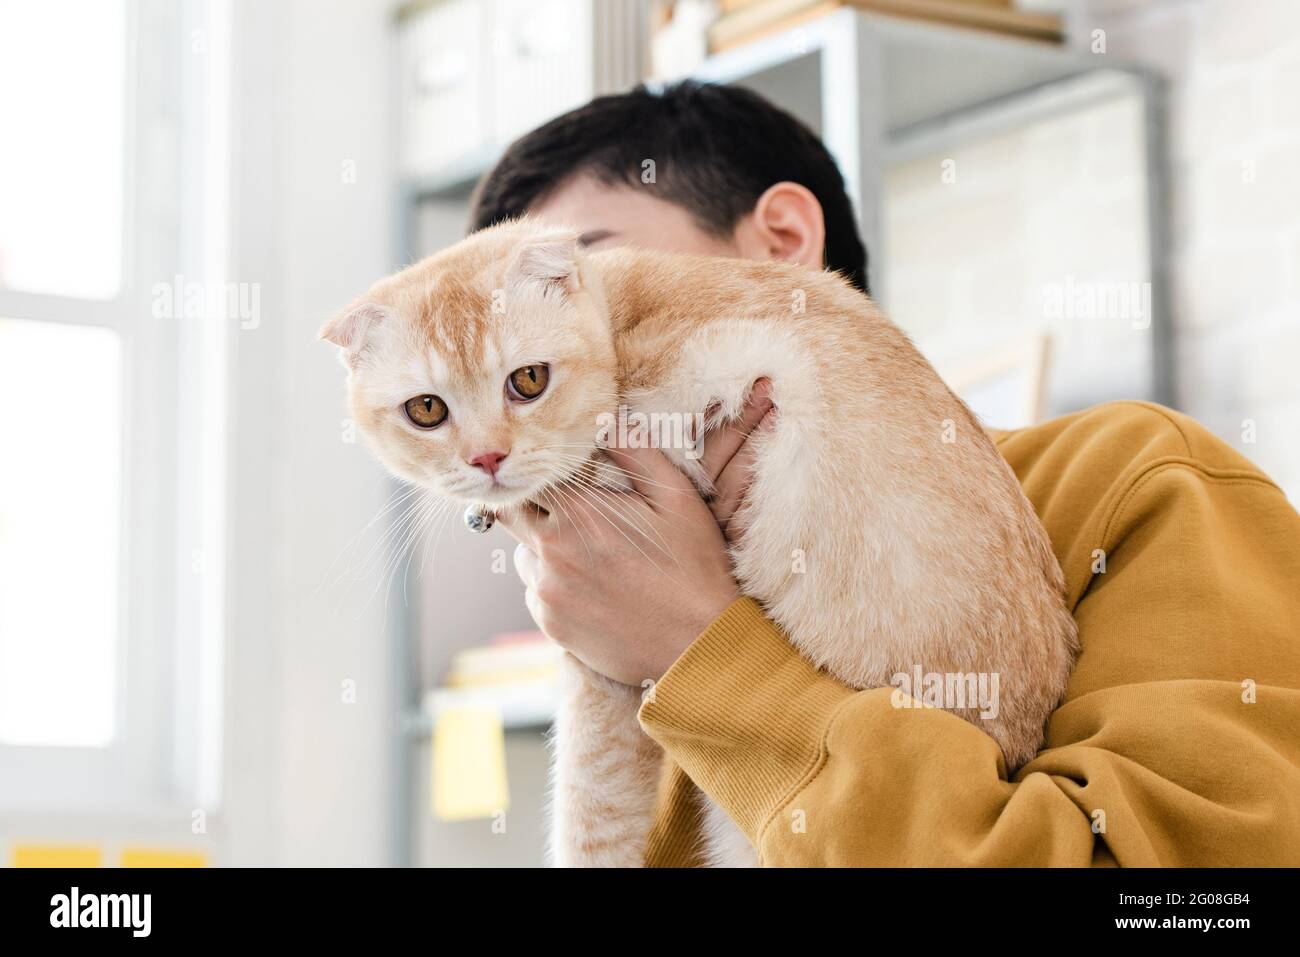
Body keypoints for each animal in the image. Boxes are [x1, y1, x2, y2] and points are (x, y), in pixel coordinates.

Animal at [325, 217, 1076, 868]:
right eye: (427, 409)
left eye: (528, 380)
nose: (486, 457)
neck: (620, 321)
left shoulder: (596, 666)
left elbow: (588, 813)